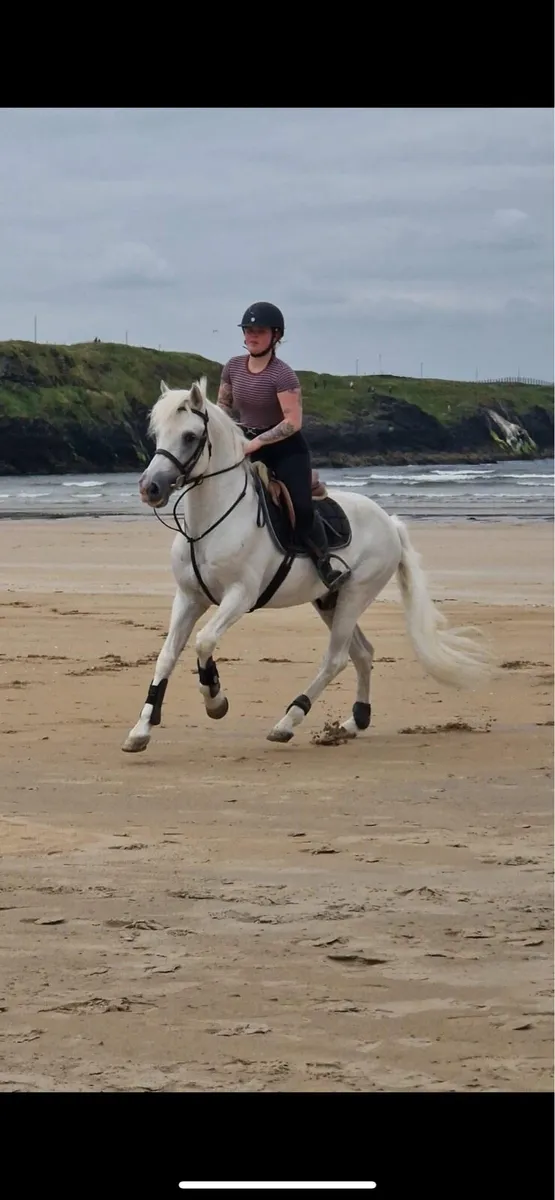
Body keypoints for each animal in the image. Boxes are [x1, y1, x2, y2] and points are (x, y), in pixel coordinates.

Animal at [122, 376, 492, 753]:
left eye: (189, 436)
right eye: (157, 434)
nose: (150, 488)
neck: (209, 524)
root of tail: (389, 522)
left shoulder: (240, 596)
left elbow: (204, 641)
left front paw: (215, 699)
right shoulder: (188, 598)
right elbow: (168, 654)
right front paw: (142, 729)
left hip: (356, 595)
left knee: (337, 659)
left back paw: (288, 721)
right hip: (329, 599)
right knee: (362, 653)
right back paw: (354, 721)